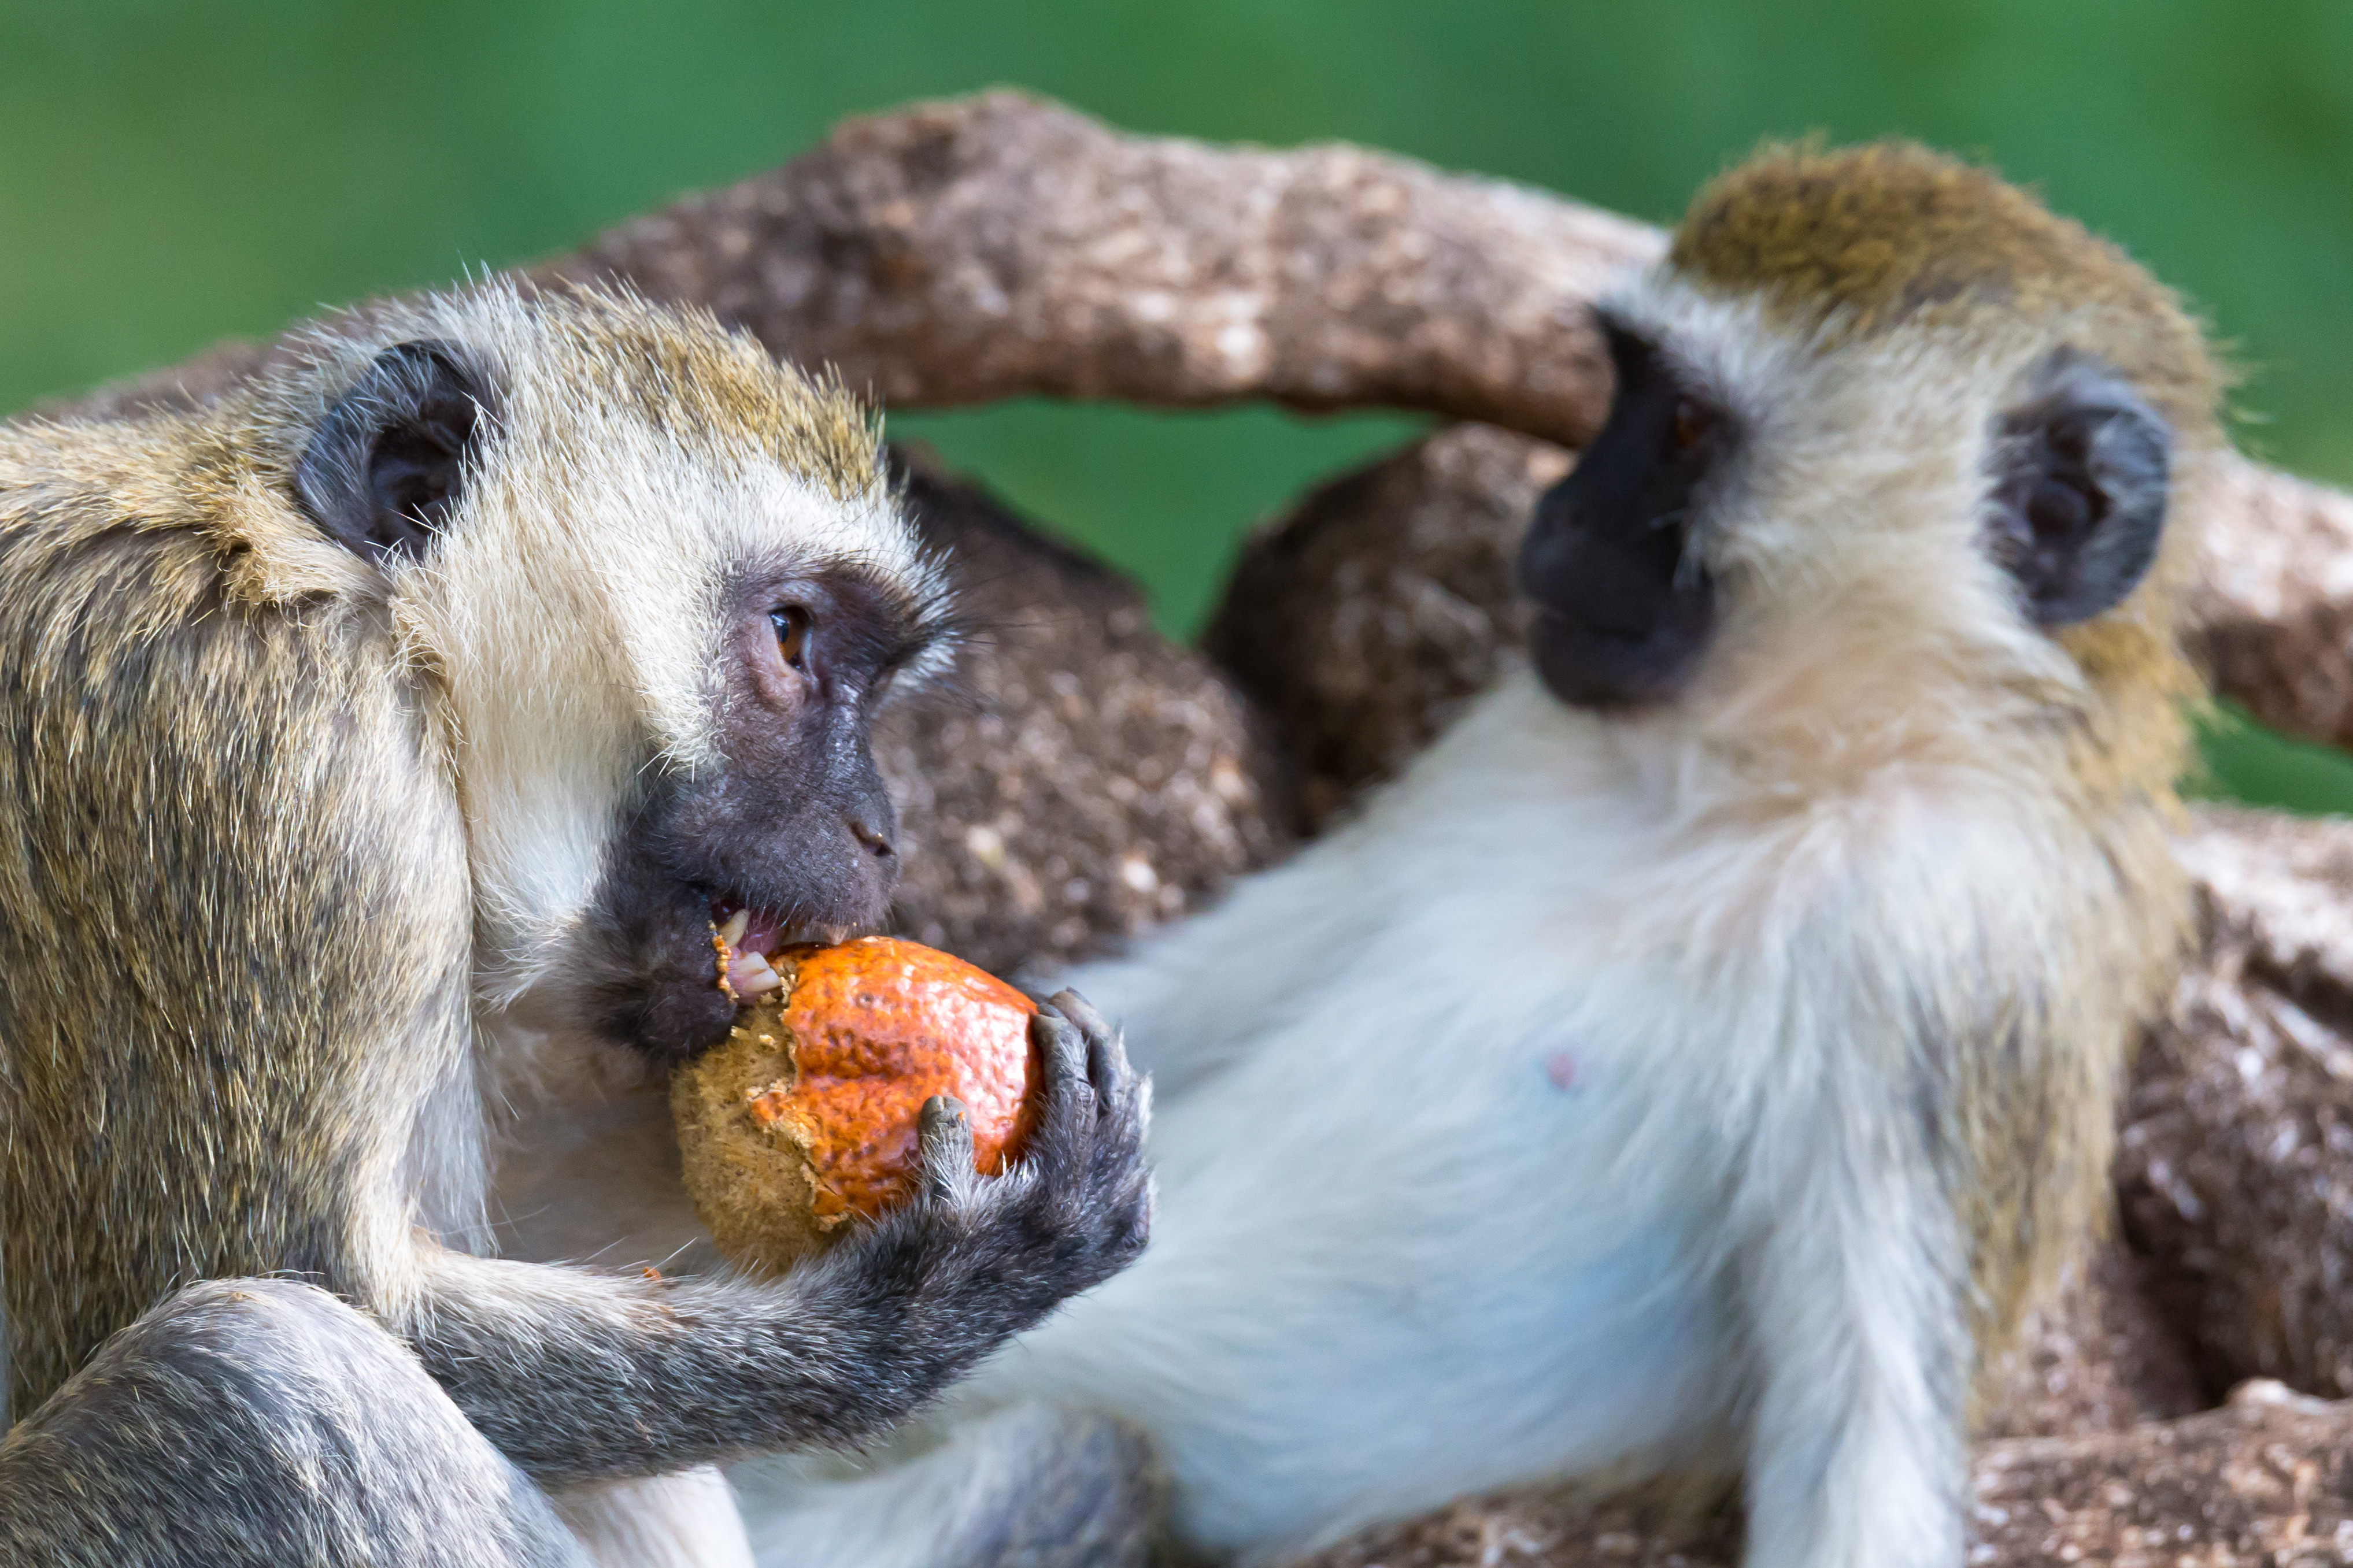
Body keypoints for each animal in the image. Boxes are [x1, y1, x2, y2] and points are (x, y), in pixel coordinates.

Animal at [738, 138, 2221, 1568]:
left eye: (1684, 426)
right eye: (1627, 390)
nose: (1554, 515)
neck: (1760, 785)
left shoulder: (1949, 942)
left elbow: (1857, 1476)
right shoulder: (1508, 740)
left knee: (1075, 1460)